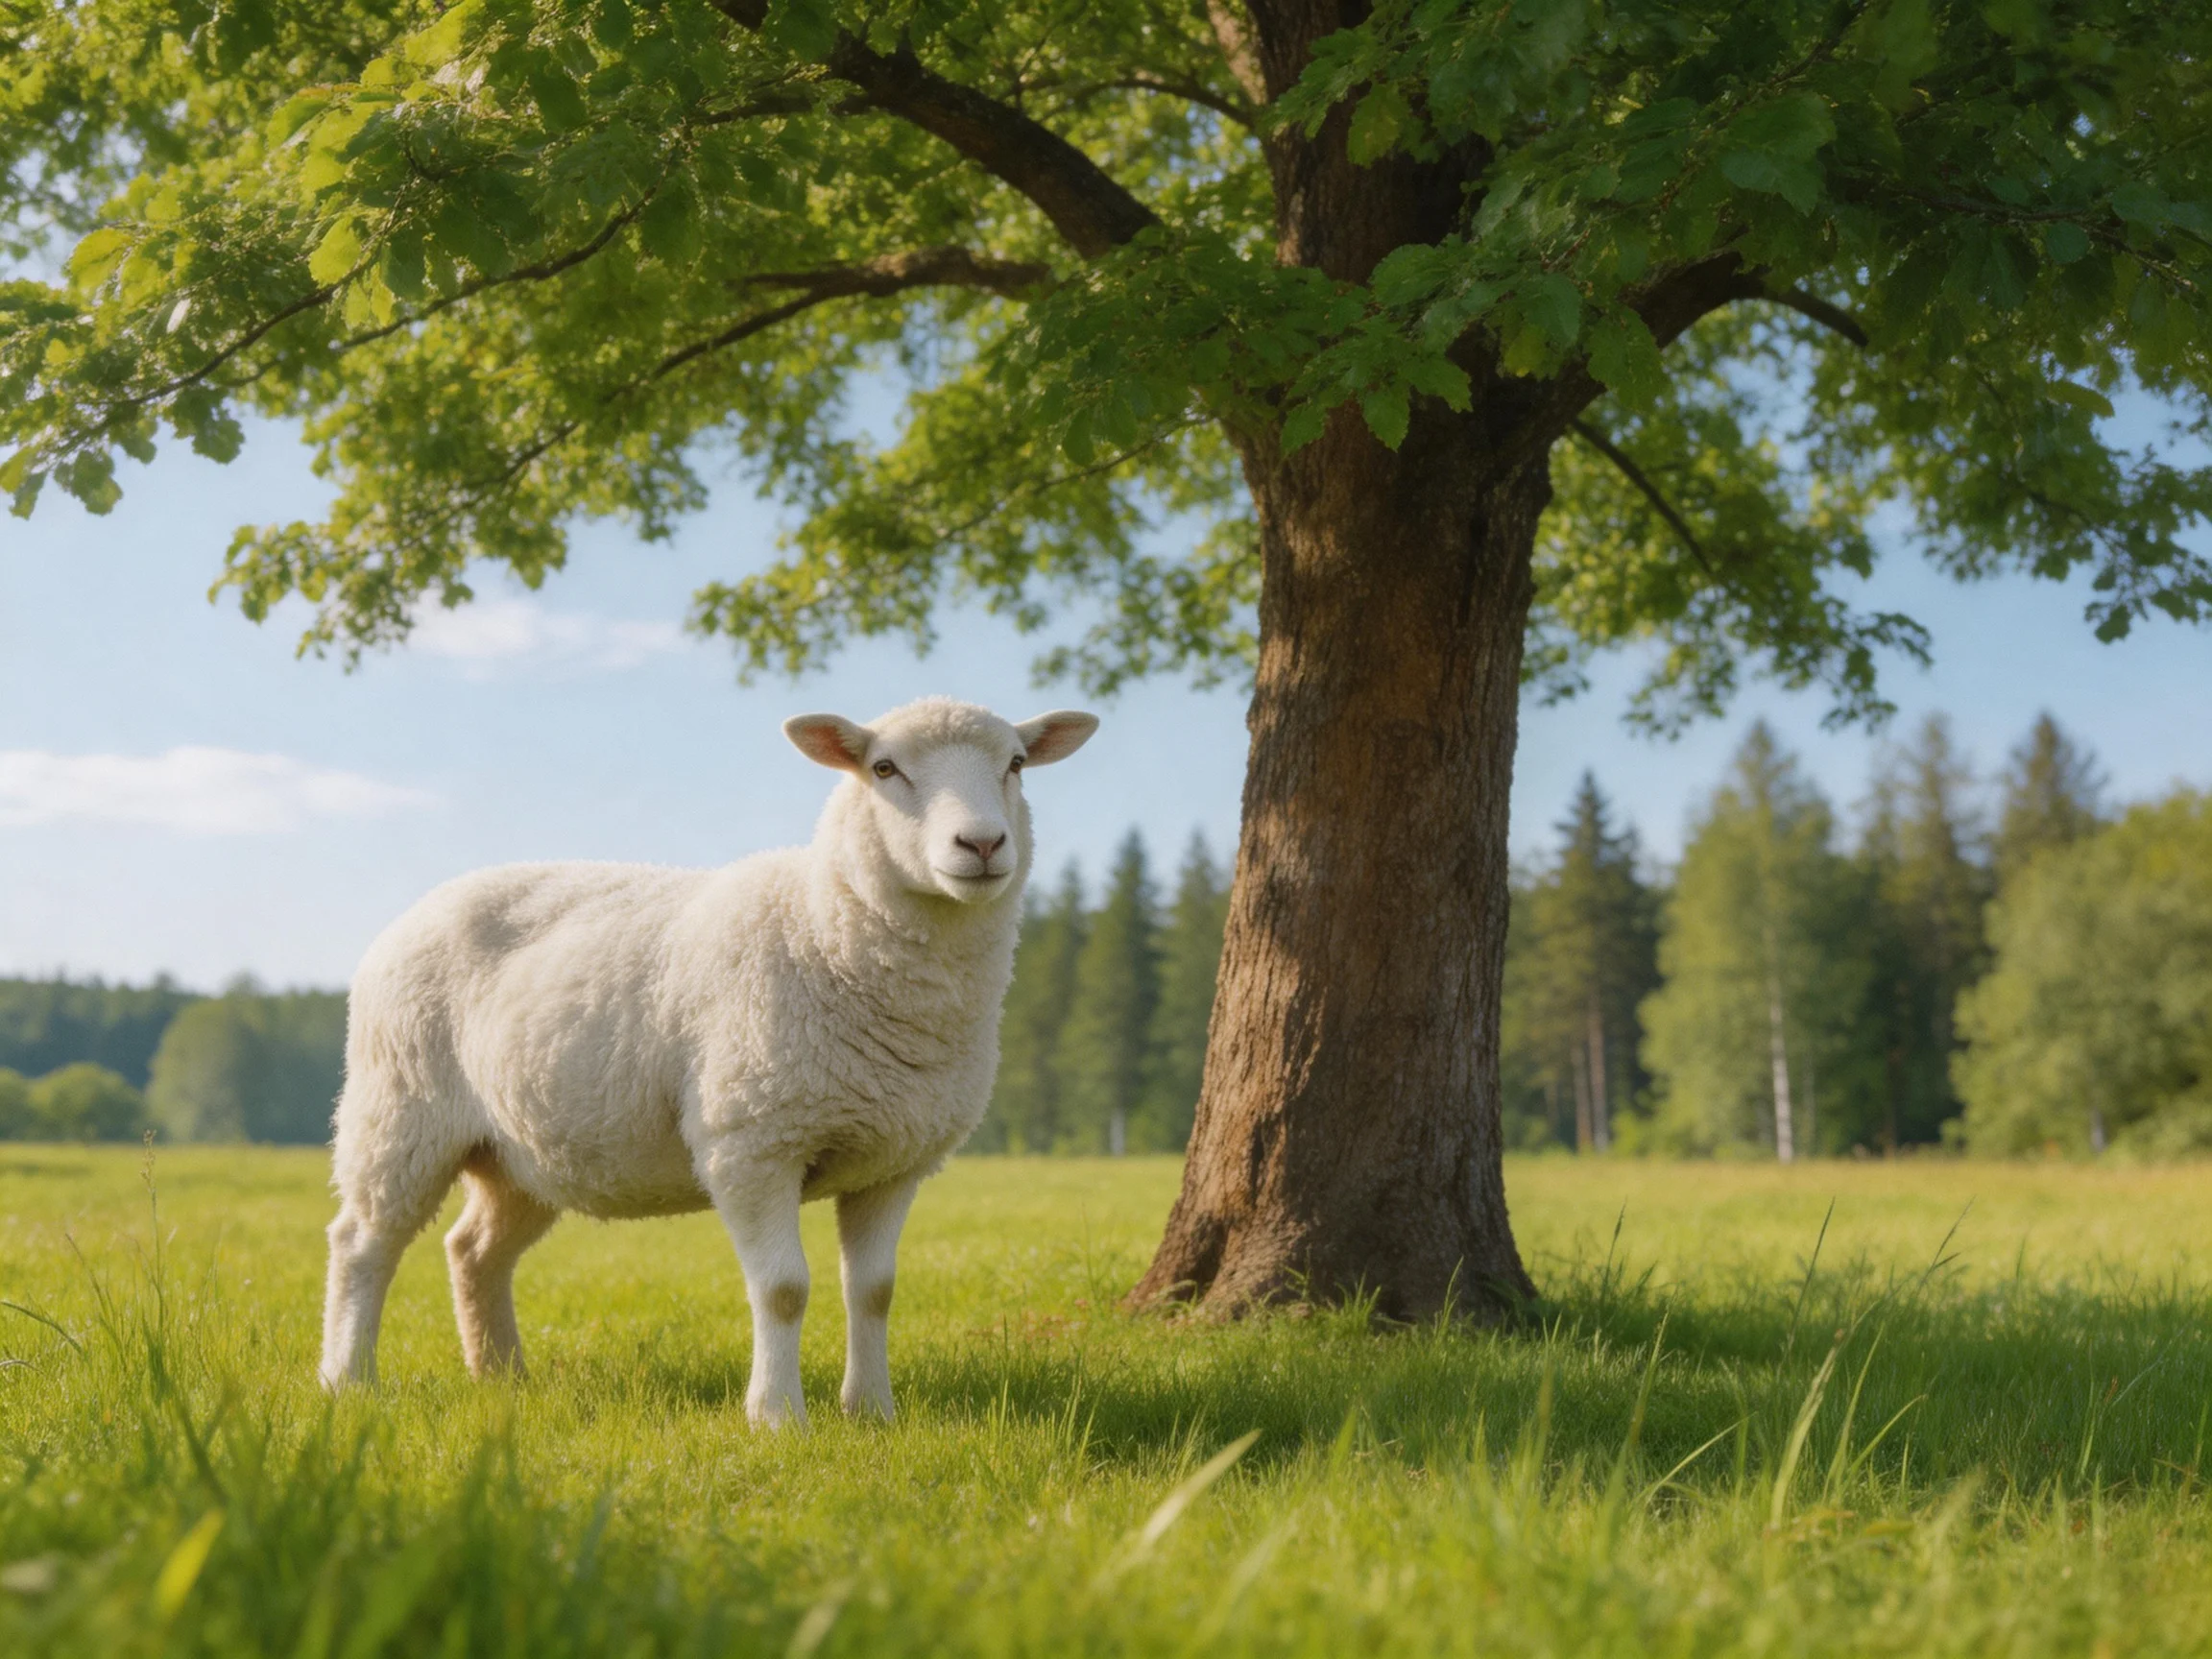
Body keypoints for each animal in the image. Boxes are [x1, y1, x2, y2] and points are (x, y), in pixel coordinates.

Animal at [318, 696, 1098, 1425]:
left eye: (1016, 763)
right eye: (883, 769)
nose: (983, 842)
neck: (822, 924)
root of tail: (421, 906)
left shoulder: (894, 1160)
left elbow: (873, 1291)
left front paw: (872, 1411)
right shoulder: (751, 1142)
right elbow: (782, 1289)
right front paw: (777, 1417)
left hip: (519, 1153)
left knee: (474, 1250)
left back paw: (501, 1375)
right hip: (400, 1110)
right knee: (362, 1243)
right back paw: (348, 1379)